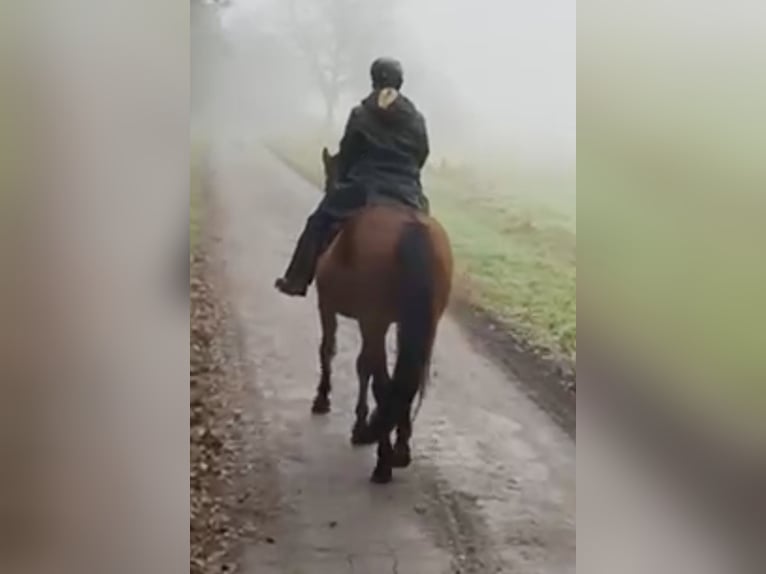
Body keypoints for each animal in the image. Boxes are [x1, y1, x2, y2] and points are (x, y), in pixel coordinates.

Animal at [310, 148, 456, 486]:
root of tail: (413, 229)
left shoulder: (329, 307)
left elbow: (332, 351)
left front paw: (325, 400)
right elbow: (365, 366)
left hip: (373, 321)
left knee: (384, 381)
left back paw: (383, 461)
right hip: (421, 324)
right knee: (406, 379)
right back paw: (398, 449)